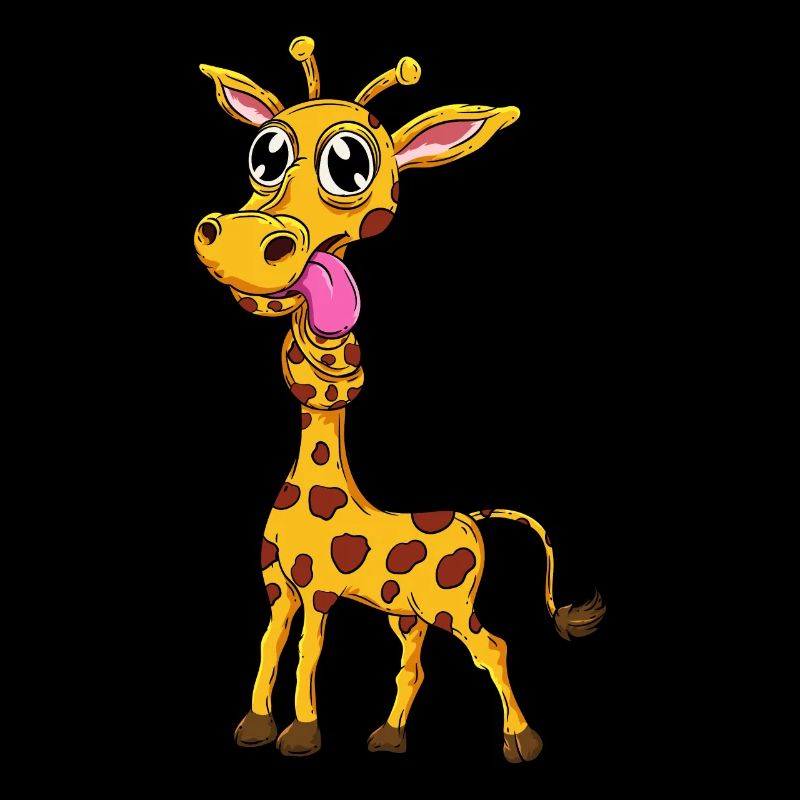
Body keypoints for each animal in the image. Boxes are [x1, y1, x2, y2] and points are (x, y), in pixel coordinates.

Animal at [194, 36, 605, 764]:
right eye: (264, 154)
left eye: (349, 165)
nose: (243, 243)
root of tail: (472, 515)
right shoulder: (276, 586)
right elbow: (270, 647)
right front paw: (254, 726)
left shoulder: (321, 590)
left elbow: (308, 654)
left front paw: (302, 734)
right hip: (406, 611)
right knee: (414, 663)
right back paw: (388, 737)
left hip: (450, 605)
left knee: (493, 646)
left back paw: (522, 741)